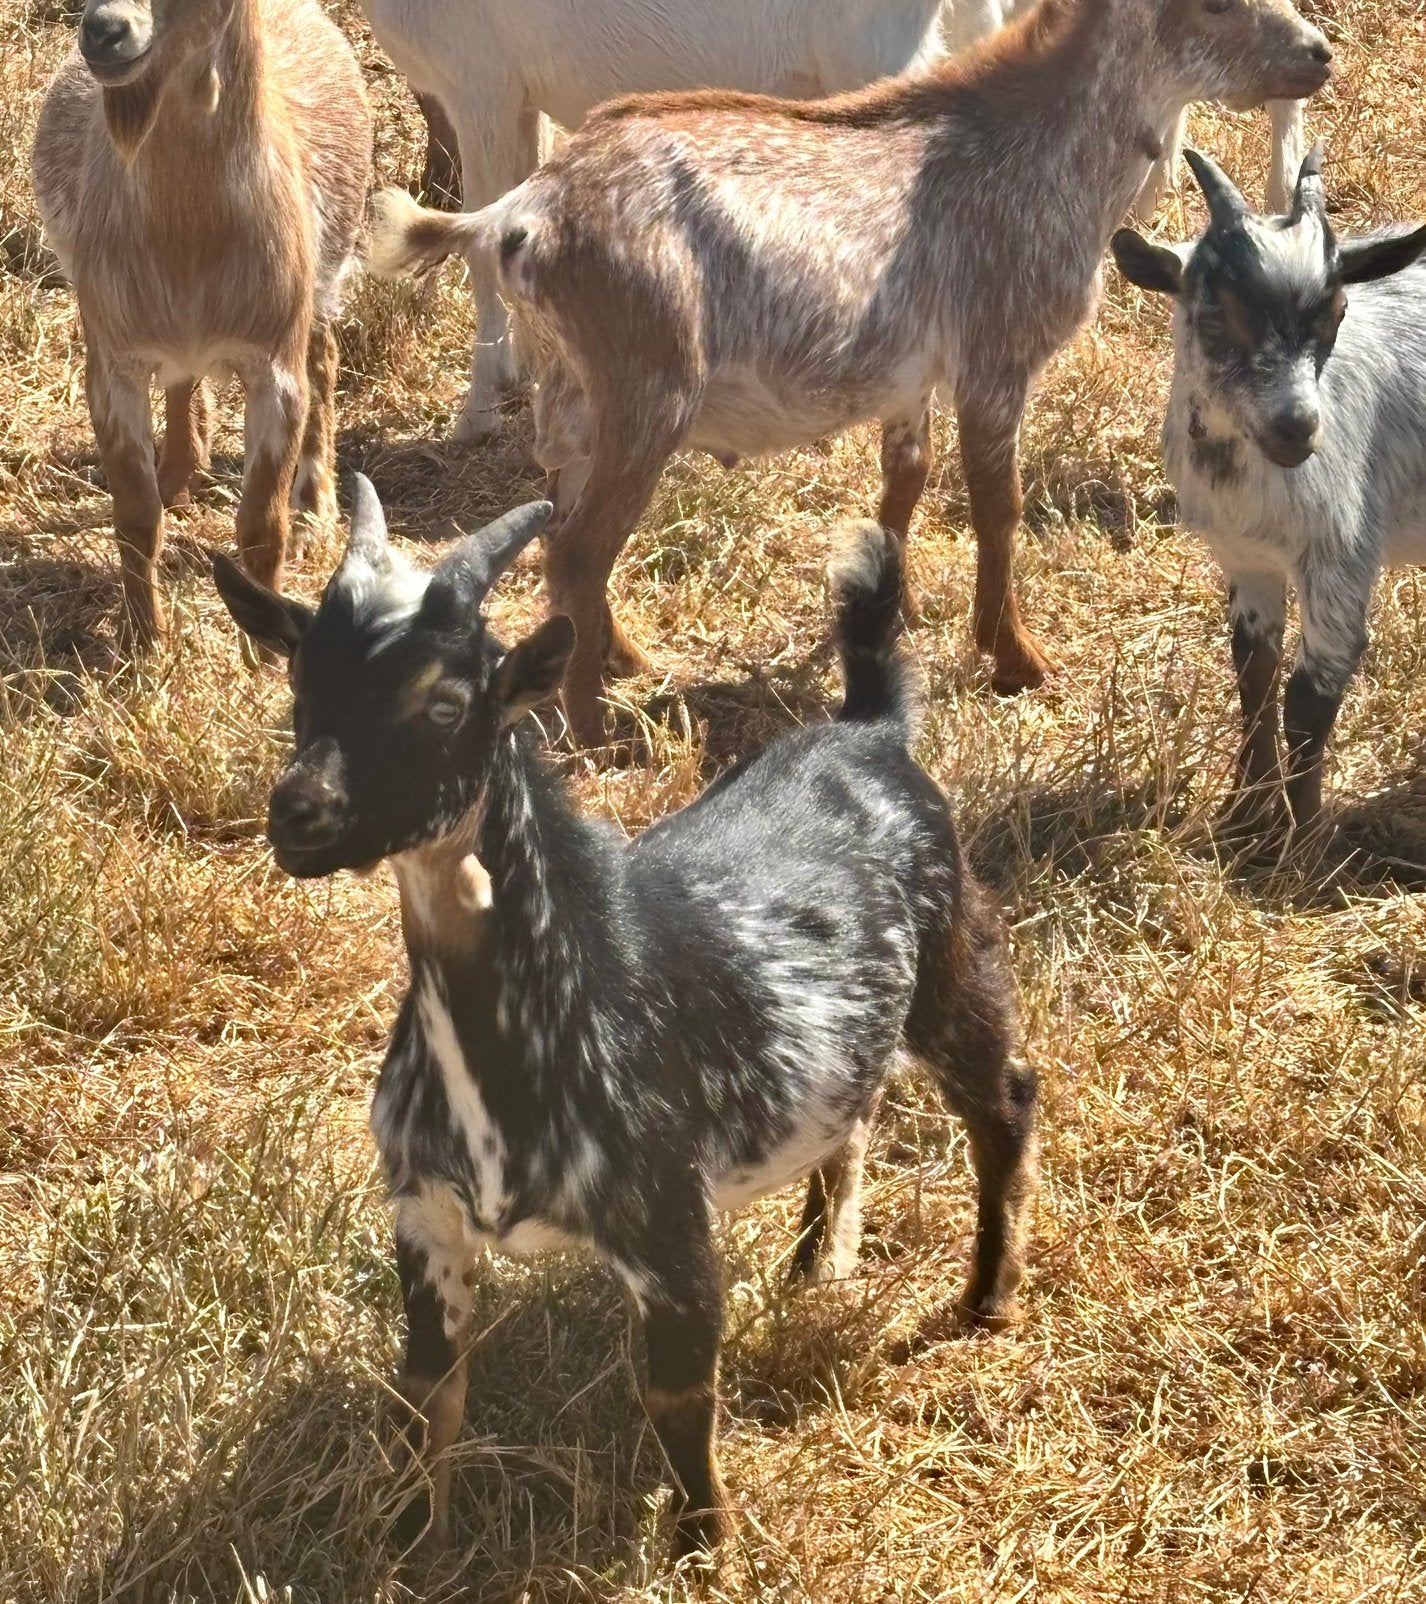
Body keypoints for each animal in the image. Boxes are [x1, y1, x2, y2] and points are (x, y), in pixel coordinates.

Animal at [32, 0, 371, 652]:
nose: (103, 31)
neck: (189, 241)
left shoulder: (274, 364)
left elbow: (262, 523)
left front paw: (262, 653)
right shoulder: (112, 361)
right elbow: (135, 518)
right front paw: (145, 643)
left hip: (324, 275)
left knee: (324, 358)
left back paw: (314, 510)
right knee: (183, 383)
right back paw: (178, 475)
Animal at [210, 474, 1038, 1561]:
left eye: (445, 701)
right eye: (300, 683)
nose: (299, 812)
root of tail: (869, 728)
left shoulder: (666, 1221)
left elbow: (678, 1395)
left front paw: (701, 1544)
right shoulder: (424, 1214)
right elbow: (427, 1395)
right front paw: (409, 1544)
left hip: (951, 954)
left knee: (1004, 1098)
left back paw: (985, 1298)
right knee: (853, 1111)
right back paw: (815, 1265)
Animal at [370, 0, 1331, 746]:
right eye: (1210, 2)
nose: (1319, 52)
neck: (1038, 143)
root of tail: (525, 212)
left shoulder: (911, 376)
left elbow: (904, 480)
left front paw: (883, 616)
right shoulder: (995, 353)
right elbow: (998, 505)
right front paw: (1016, 657)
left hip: (575, 395)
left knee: (563, 522)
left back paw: (621, 651)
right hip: (649, 387)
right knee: (576, 549)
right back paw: (596, 729)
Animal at [1112, 149, 1426, 847]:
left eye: (1338, 312)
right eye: (1215, 313)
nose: (1296, 426)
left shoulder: (1340, 558)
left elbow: (1310, 694)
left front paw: (1303, 845)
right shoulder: (1244, 557)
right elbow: (1254, 673)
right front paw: (1244, 817)